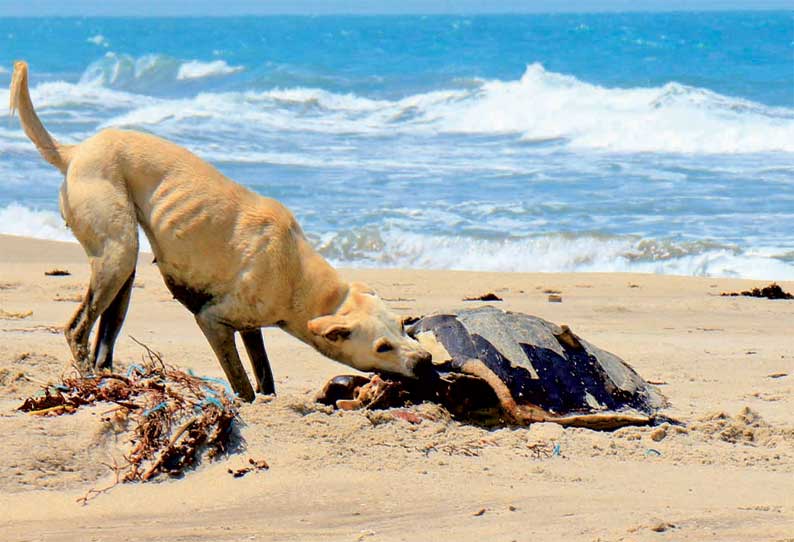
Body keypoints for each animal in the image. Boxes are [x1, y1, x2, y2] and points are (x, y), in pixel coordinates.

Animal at [9, 62, 430, 404]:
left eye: (403, 325)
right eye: (382, 346)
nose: (426, 361)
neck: (300, 277)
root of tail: (75, 151)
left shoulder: (249, 327)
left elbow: (264, 373)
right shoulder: (212, 321)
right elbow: (242, 382)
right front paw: (248, 403)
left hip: (123, 273)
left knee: (103, 340)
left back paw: (110, 379)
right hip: (118, 252)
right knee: (77, 329)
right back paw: (88, 380)